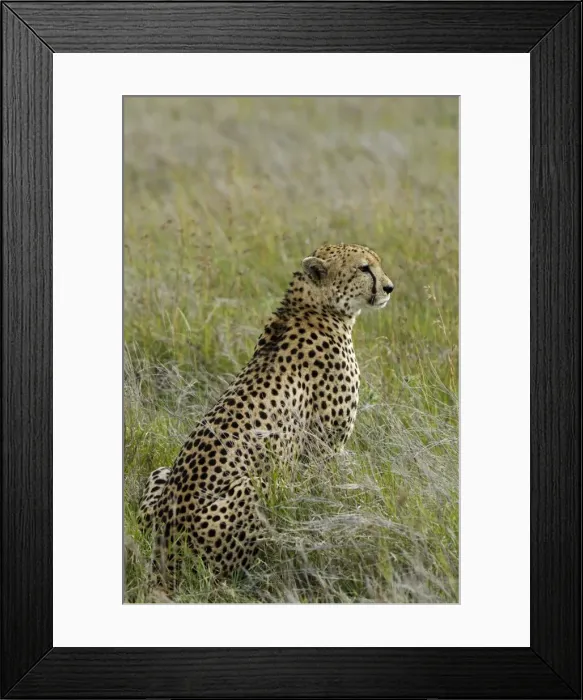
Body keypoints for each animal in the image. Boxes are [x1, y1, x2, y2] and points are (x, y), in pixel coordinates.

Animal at [139, 243, 394, 583]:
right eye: (364, 268)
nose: (390, 288)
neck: (314, 306)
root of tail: (163, 546)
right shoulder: (325, 448)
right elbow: (332, 489)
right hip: (254, 486)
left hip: (161, 472)